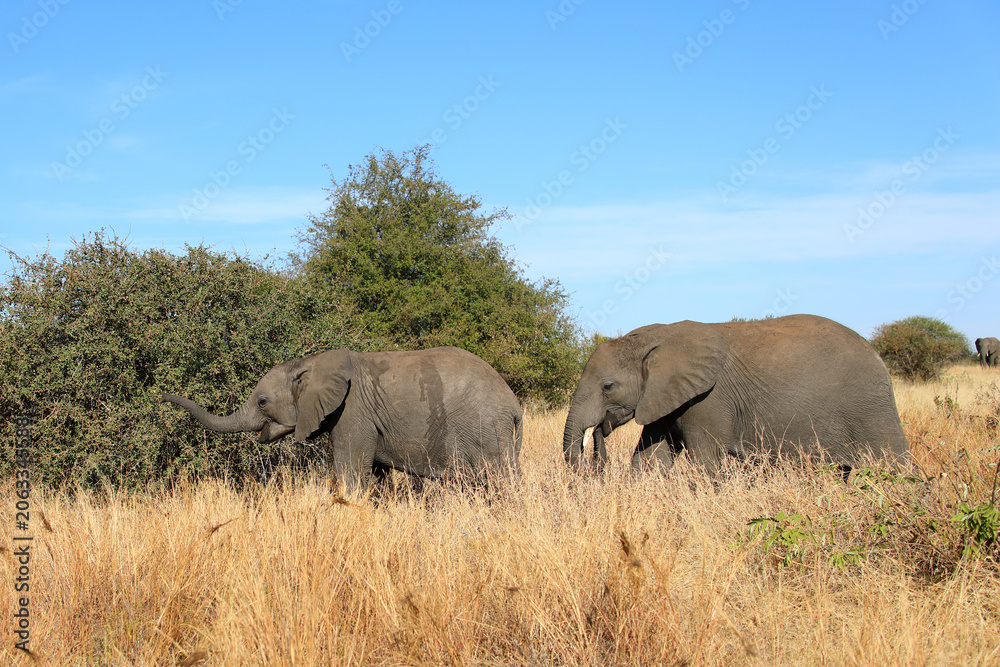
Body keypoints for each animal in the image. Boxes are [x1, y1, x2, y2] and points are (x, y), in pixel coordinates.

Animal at [163, 347, 522, 491]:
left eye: (263, 402)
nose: (163, 398)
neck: (308, 364)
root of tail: (514, 404)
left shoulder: (352, 413)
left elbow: (351, 474)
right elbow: (374, 478)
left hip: (485, 428)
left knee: (498, 480)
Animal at [563, 314, 910, 477]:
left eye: (608, 386)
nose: (598, 434)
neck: (653, 336)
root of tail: (877, 355)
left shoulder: (708, 399)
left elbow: (706, 461)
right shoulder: (665, 397)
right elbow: (650, 460)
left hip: (869, 408)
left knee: (894, 464)